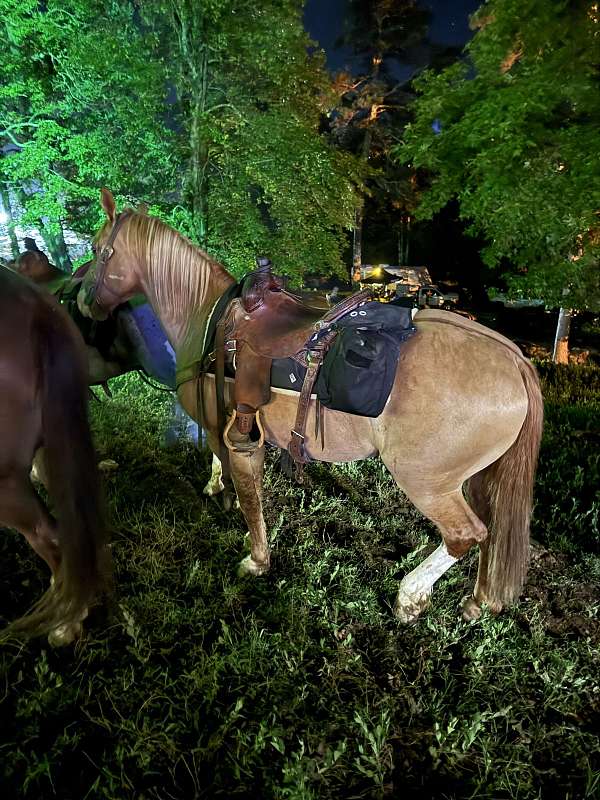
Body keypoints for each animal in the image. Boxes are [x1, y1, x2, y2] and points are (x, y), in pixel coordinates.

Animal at [79, 188, 543, 623]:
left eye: (100, 250)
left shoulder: (239, 438)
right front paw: (223, 499)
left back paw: (410, 595)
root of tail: (515, 360)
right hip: (476, 478)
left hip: (427, 481)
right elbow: (226, 471)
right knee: (492, 531)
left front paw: (256, 559)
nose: (83, 301)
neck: (207, 314)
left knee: (465, 534)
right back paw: (477, 600)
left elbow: (248, 496)